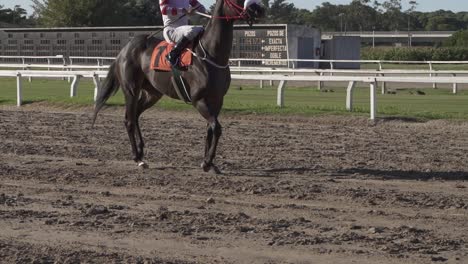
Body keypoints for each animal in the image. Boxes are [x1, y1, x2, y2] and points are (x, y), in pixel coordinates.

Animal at [93, 0, 266, 172]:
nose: (259, 10)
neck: (211, 54)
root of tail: (124, 49)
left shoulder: (217, 100)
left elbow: (210, 128)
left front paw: (208, 163)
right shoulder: (199, 100)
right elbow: (216, 128)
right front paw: (208, 162)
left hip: (152, 94)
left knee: (135, 115)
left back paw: (141, 152)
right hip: (131, 90)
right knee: (128, 120)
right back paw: (137, 158)